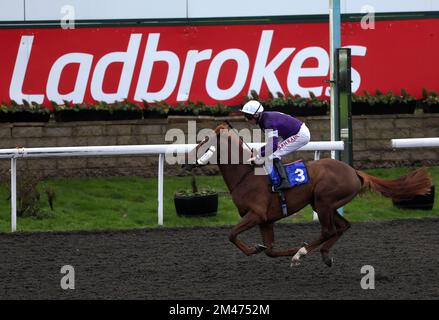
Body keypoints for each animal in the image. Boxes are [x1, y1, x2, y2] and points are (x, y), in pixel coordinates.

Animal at [183, 124, 434, 266]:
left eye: (203, 141)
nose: (185, 161)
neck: (246, 175)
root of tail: (354, 171)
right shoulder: (266, 220)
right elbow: (270, 250)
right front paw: (266, 248)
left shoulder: (256, 215)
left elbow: (232, 235)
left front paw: (280, 250)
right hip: (324, 205)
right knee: (342, 227)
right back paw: (323, 254)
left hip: (324, 202)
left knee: (329, 230)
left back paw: (302, 253)